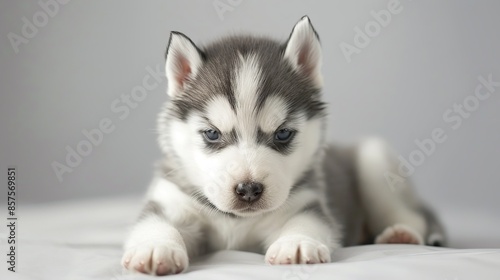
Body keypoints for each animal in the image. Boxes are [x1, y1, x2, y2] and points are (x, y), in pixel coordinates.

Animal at [122, 15, 446, 276]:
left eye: (283, 134)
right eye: (212, 134)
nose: (248, 189)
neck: (236, 222)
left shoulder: (307, 201)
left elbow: (306, 221)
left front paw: (298, 243)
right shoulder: (169, 202)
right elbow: (155, 222)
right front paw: (156, 247)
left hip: (373, 160)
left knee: (409, 215)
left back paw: (401, 234)